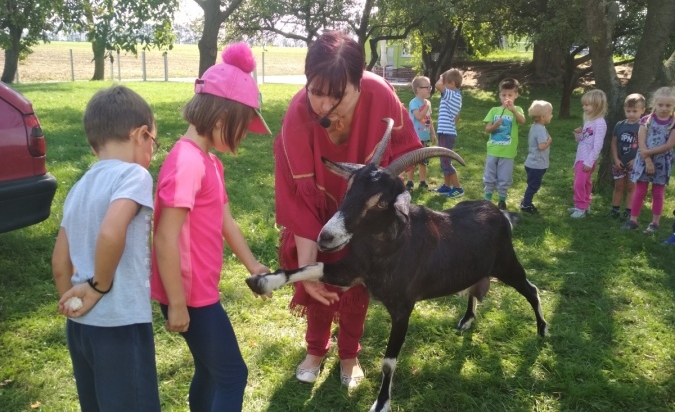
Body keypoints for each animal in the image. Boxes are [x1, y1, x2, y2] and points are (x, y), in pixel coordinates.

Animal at [248, 117, 548, 410]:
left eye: (381, 202)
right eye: (349, 189)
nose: (326, 236)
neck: (389, 247)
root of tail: (500, 214)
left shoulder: (404, 308)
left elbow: (388, 363)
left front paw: (380, 404)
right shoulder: (349, 272)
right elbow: (309, 268)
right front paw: (262, 281)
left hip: (507, 264)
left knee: (531, 289)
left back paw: (542, 331)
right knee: (475, 289)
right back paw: (466, 320)